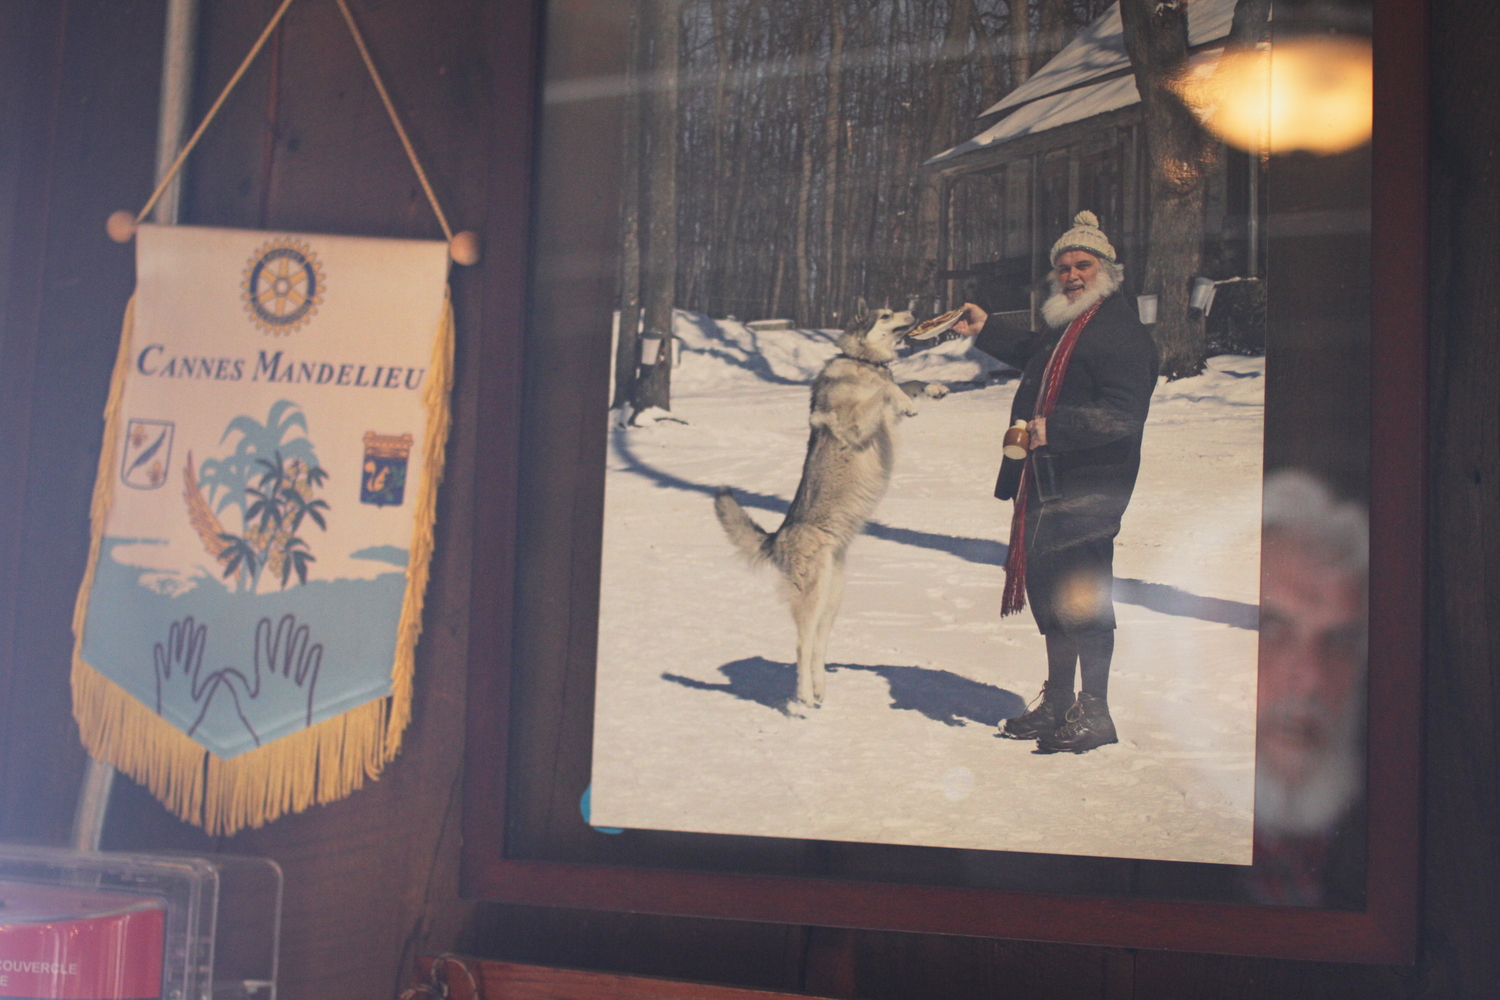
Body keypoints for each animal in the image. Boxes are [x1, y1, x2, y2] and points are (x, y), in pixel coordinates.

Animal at [711, 305, 942, 710]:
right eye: (886, 314)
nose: (914, 311)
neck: (863, 361)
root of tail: (778, 536)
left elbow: (908, 380)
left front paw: (931, 389)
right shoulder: (856, 422)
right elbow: (886, 388)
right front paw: (906, 397)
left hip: (832, 600)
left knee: (818, 647)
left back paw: (819, 692)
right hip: (812, 597)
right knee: (801, 647)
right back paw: (804, 698)